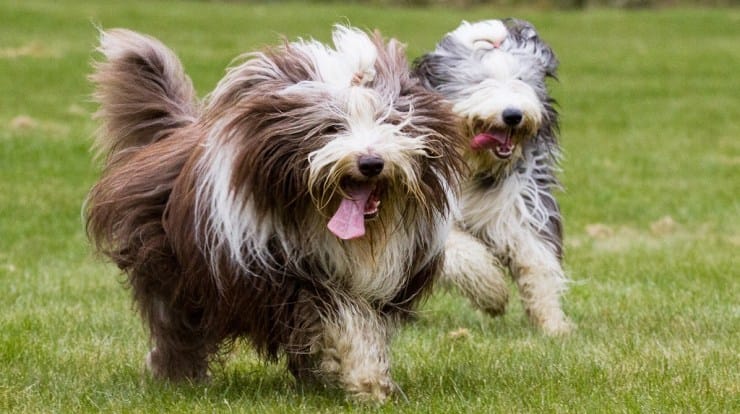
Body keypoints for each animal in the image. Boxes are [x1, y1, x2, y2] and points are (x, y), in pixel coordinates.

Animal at [85, 25, 462, 402]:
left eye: (390, 122)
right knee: (177, 323)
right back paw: (179, 374)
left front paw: (361, 377)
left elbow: (361, 320)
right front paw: (366, 380)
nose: (370, 162)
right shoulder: (284, 275)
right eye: (331, 127)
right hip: (172, 266)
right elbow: (339, 314)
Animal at [414, 20, 576, 336]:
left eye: (521, 79)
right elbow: (463, 250)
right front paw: (492, 292)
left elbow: (536, 258)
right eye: (479, 82)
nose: (512, 114)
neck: (475, 165)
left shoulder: (521, 202)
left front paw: (552, 322)